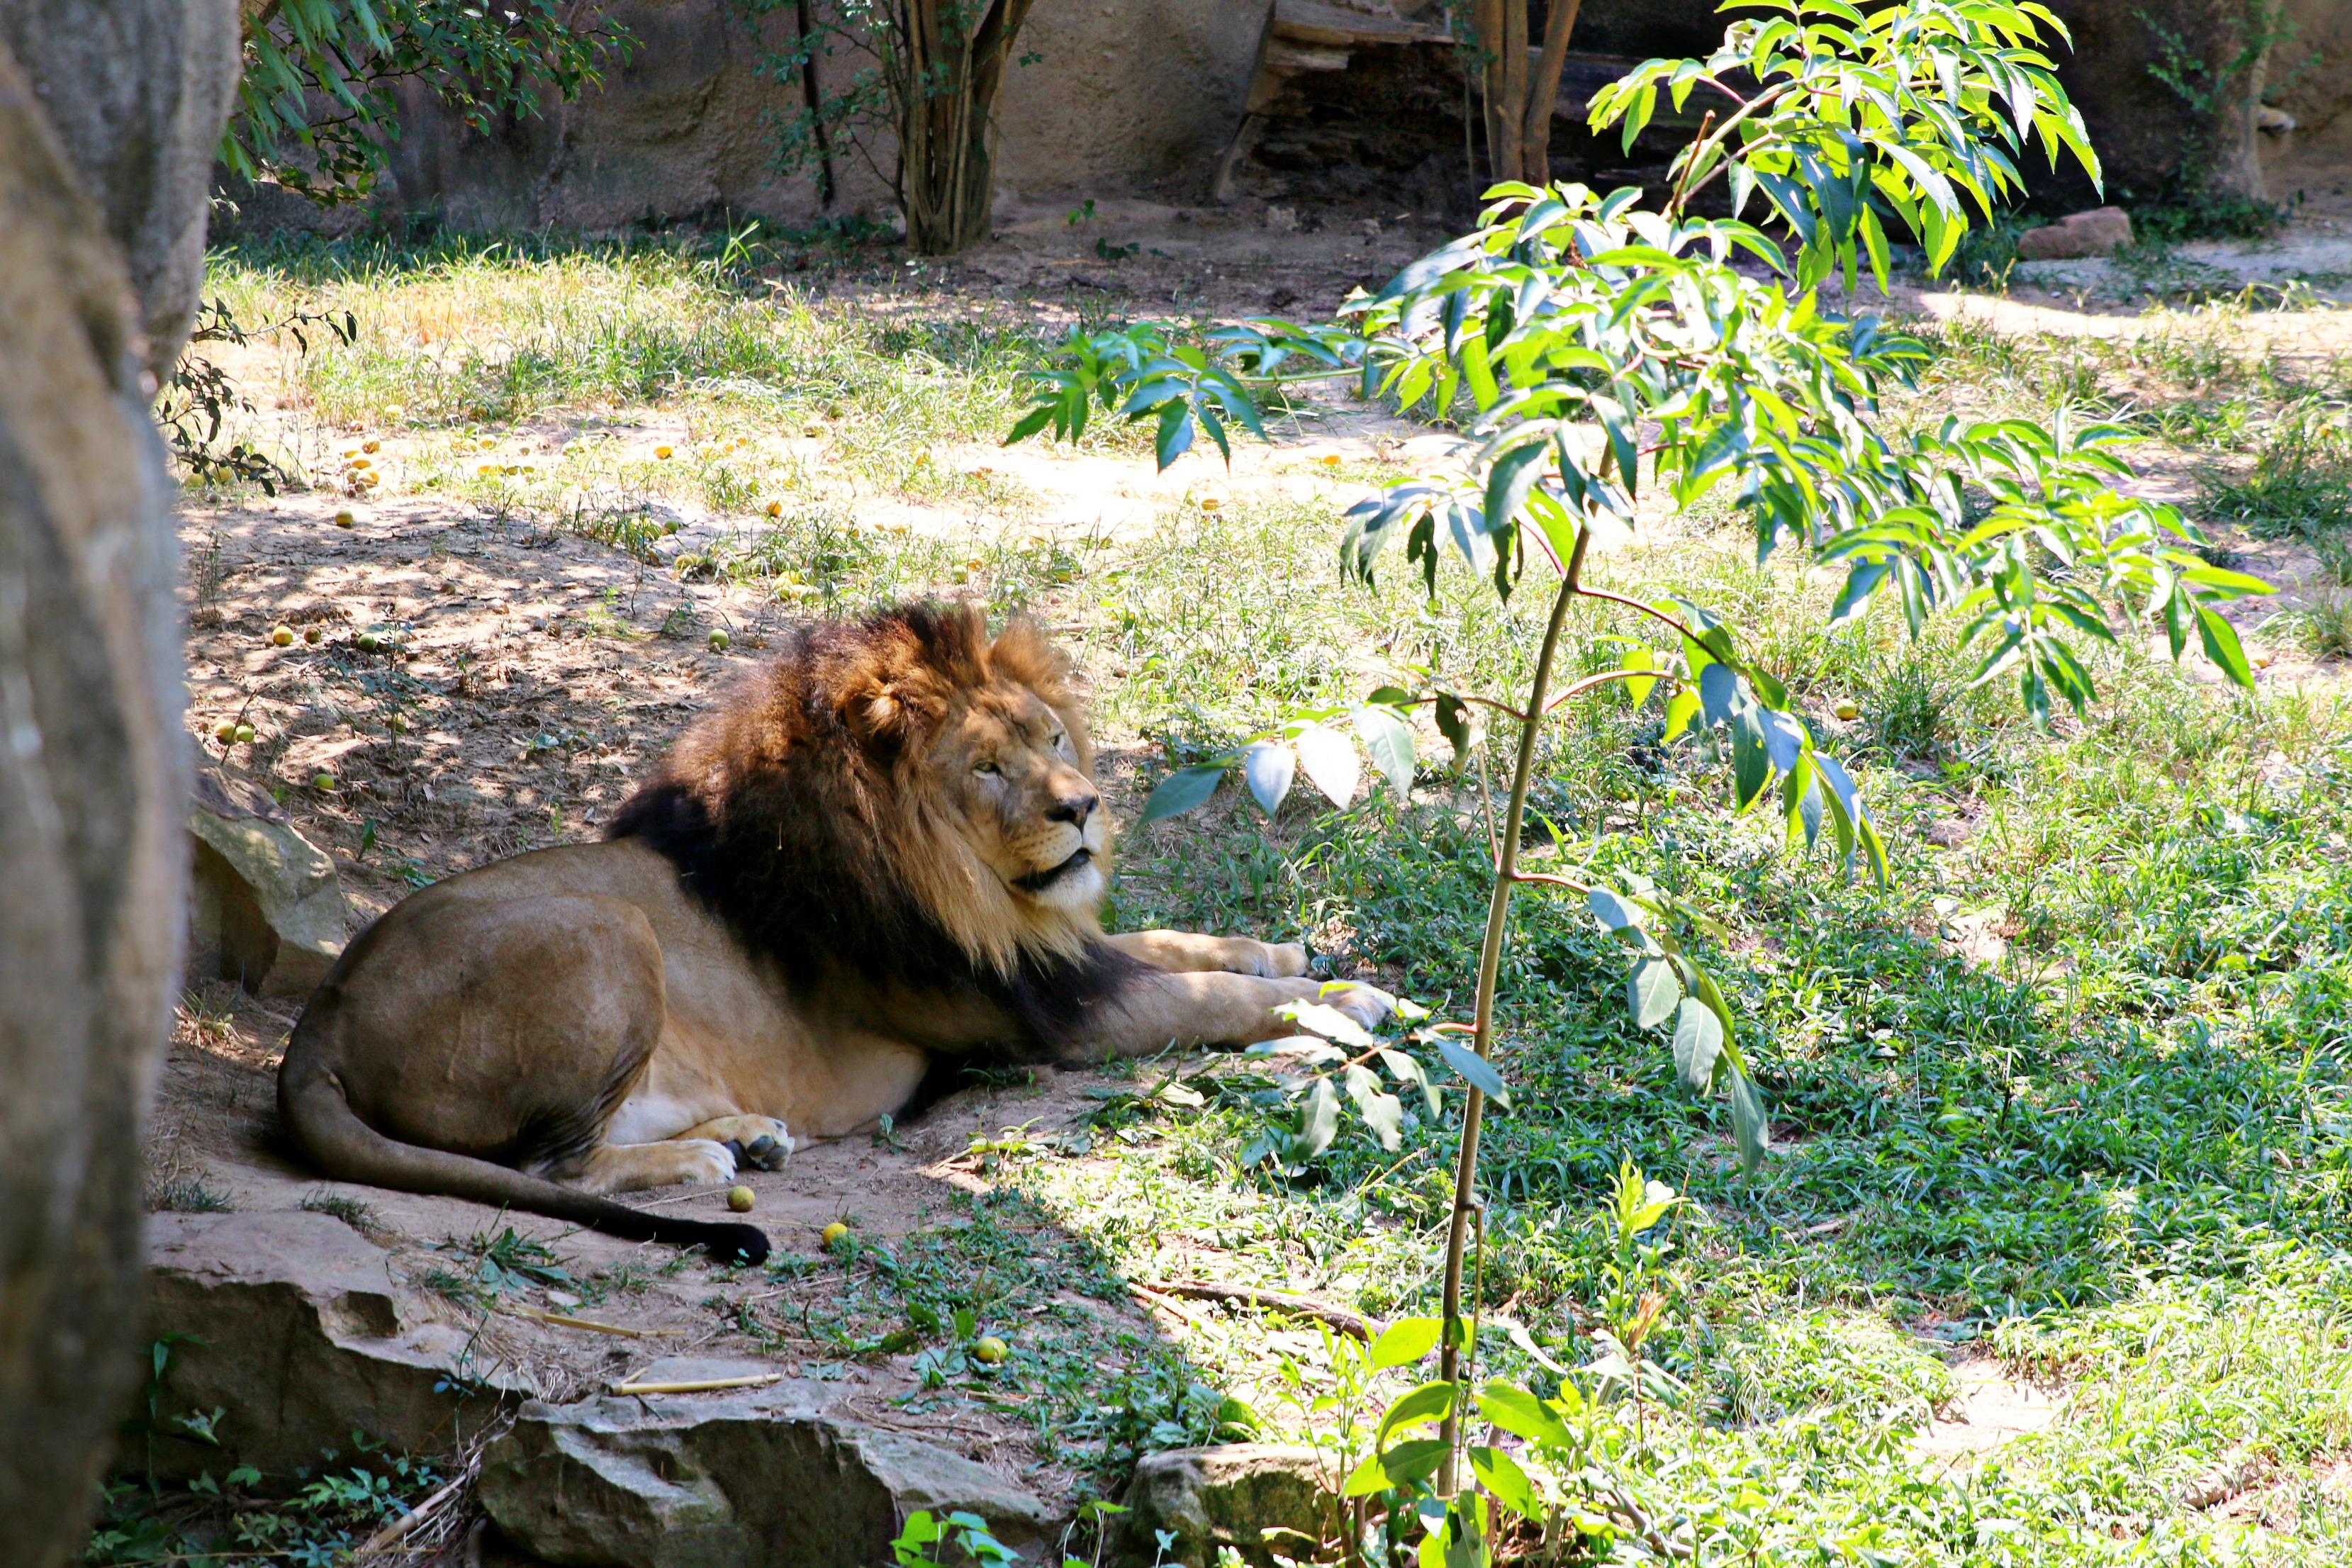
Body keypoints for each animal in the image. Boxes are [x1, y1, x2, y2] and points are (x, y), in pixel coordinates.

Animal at [278, 601, 1387, 1263]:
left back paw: (748, 1134)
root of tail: (317, 1023)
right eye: (988, 767)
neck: (973, 891)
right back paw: (707, 1160)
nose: (1084, 807)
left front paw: (1293, 955)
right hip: (611, 927)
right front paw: (1342, 1004)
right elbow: (1208, 996)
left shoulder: (1048, 962)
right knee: (549, 1167)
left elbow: (1179, 944)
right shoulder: (1042, 1017)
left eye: (1053, 739)